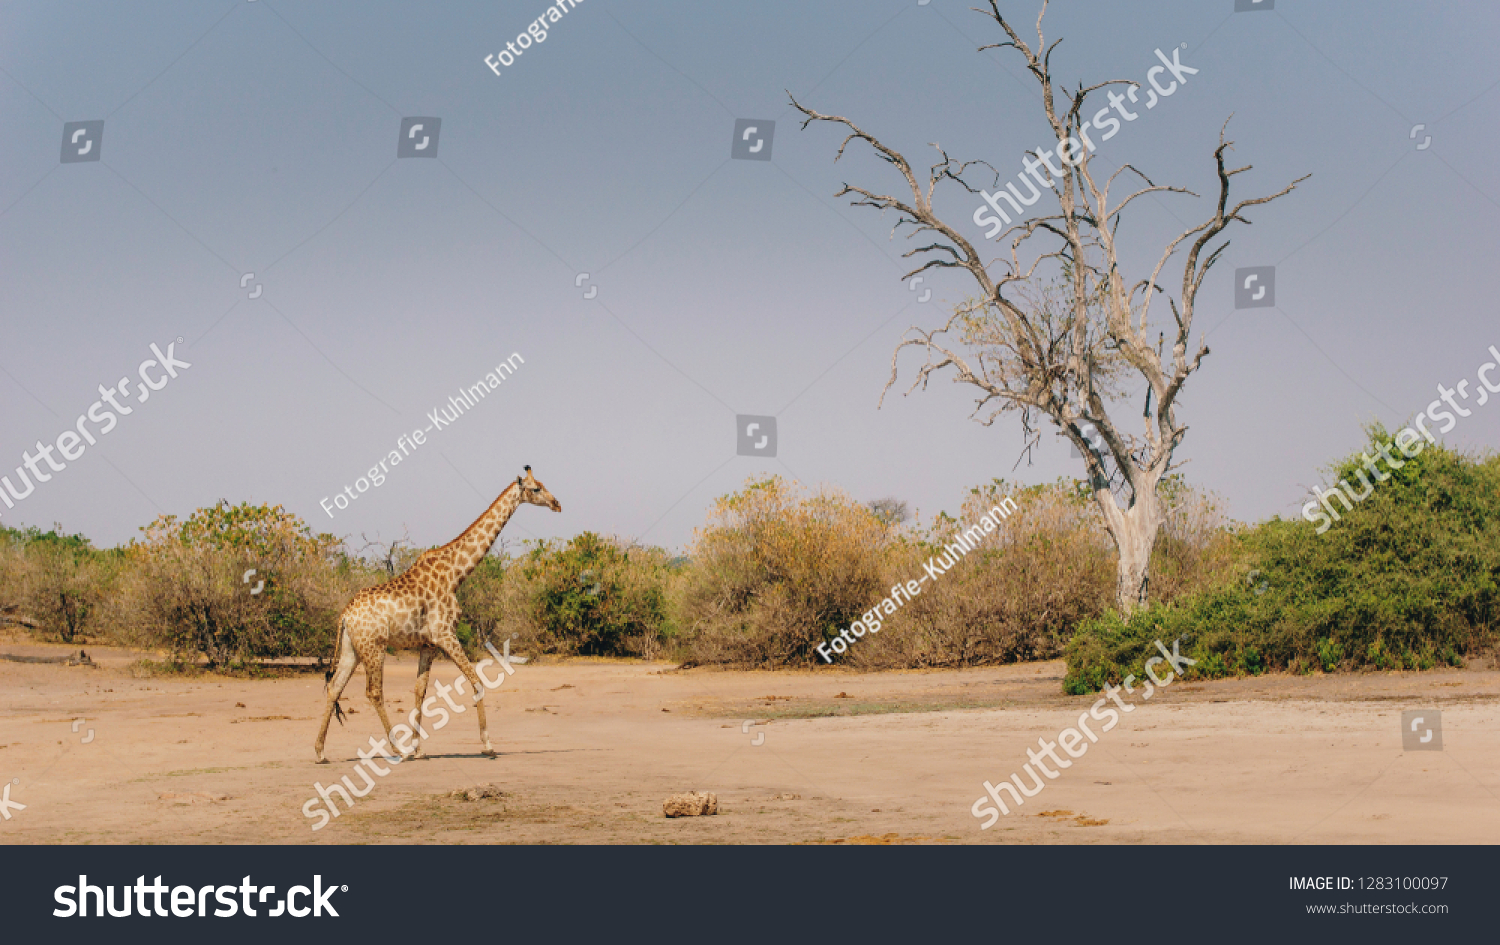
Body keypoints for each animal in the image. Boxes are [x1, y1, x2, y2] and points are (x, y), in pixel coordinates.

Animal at [312, 471, 564, 768]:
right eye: (536, 489)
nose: (557, 504)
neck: (456, 573)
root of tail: (344, 615)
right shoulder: (445, 634)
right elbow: (477, 682)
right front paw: (488, 745)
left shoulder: (428, 643)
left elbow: (420, 691)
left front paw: (420, 749)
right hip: (374, 647)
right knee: (373, 692)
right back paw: (397, 750)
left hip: (353, 648)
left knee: (334, 687)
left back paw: (320, 752)